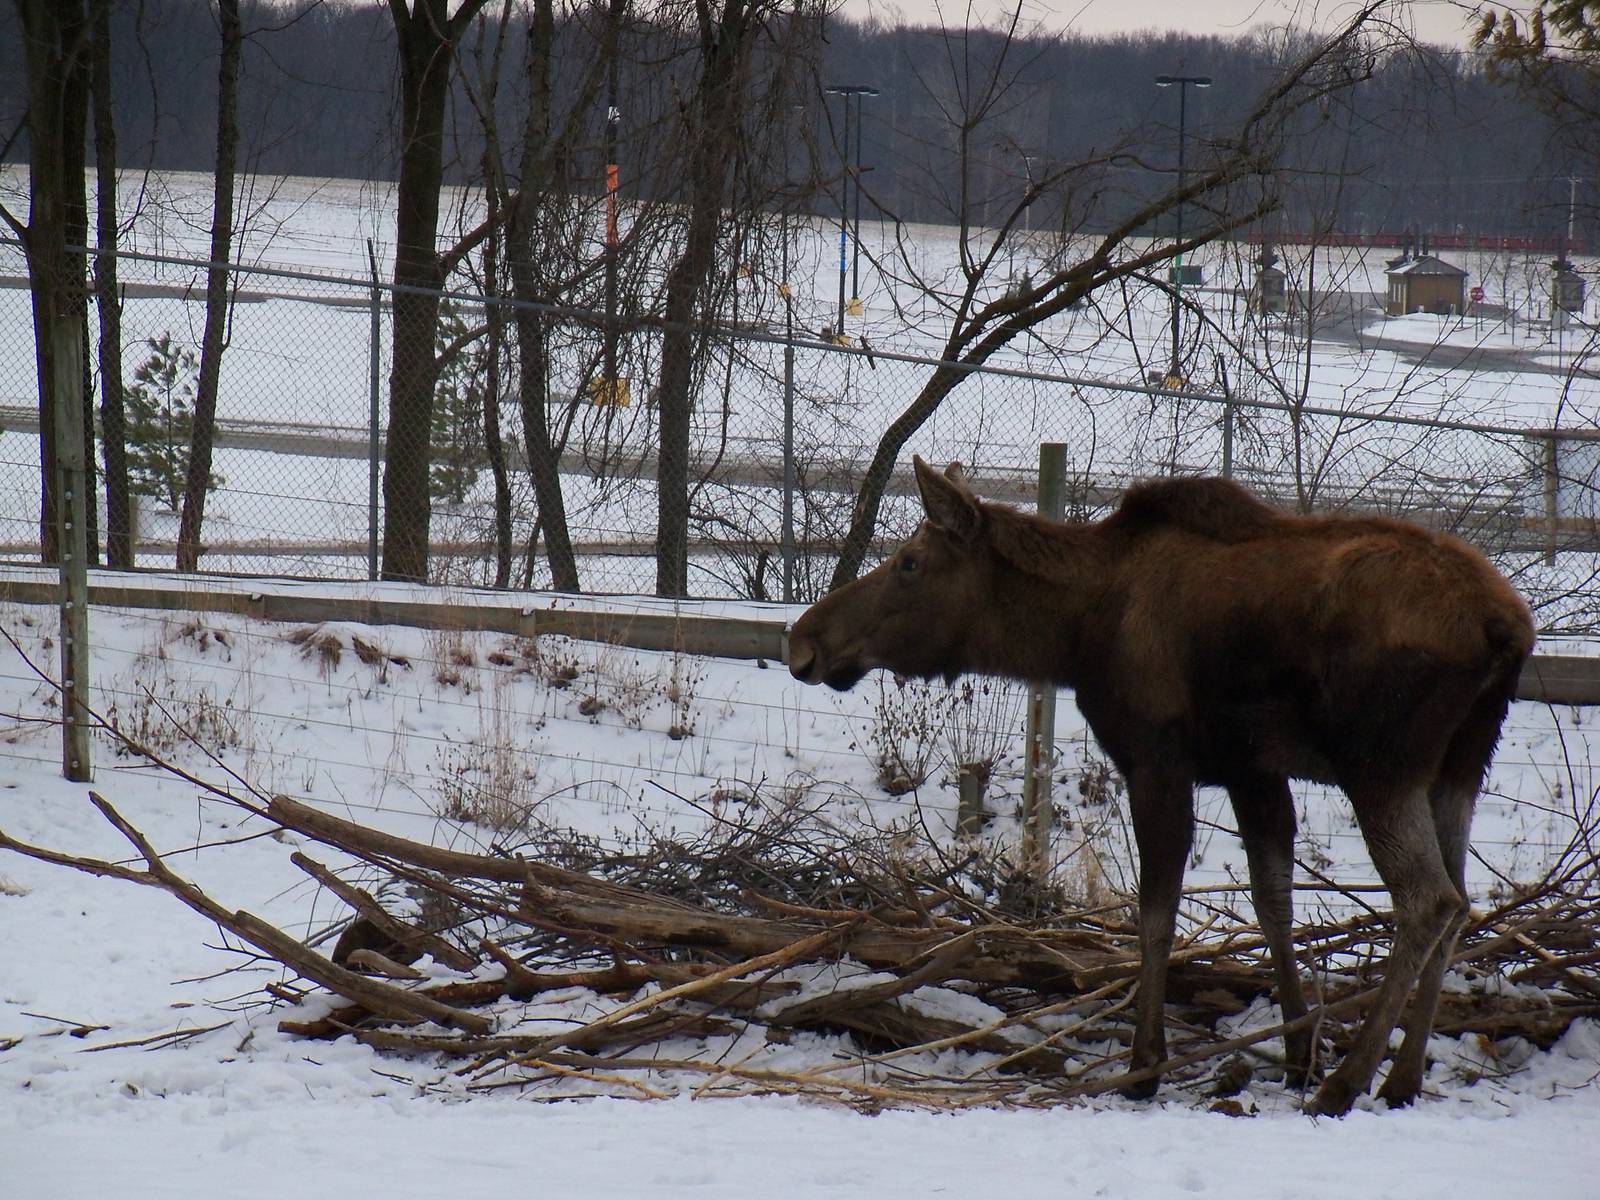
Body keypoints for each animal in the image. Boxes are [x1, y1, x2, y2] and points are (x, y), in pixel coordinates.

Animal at [787, 457, 1534, 1116]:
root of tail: (1508, 630)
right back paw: (1401, 1078)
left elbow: (1155, 914)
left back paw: (1348, 1082)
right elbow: (1273, 903)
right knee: (1462, 899)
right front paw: (1297, 1050)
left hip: (1379, 763)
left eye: (910, 563)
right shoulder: (1253, 769)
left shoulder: (1156, 758)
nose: (803, 641)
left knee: (1430, 900)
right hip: (1460, 767)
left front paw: (1145, 1064)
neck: (1074, 633)